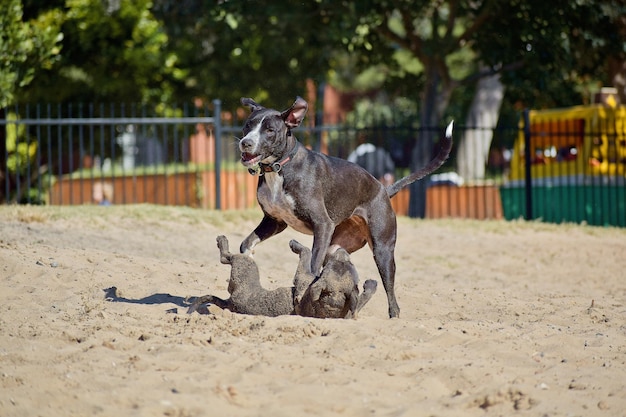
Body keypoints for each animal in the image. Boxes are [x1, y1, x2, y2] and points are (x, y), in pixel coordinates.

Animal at [183, 234, 372, 318]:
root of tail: (230, 303)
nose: (342, 250)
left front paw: (295, 245)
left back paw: (222, 241)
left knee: (227, 258)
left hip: (246, 267)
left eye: (332, 264)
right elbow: (361, 299)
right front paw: (370, 285)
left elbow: (306, 252)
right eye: (350, 265)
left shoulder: (302, 277)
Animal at [236, 96, 450, 318]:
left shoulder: (323, 225)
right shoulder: (274, 221)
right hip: (335, 248)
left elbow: (312, 267)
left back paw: (394, 315)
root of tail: (383, 189)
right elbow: (246, 244)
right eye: (248, 125)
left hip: (383, 251)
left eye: (270, 130)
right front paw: (246, 262)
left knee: (391, 293)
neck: (280, 167)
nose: (246, 143)